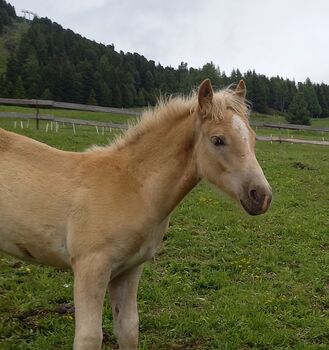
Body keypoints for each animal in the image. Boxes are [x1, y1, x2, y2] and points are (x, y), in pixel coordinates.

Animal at [0, 80, 270, 350]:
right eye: (217, 140)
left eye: (253, 138)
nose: (262, 196)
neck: (130, 186)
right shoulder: (90, 267)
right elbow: (89, 337)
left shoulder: (129, 269)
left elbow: (128, 328)